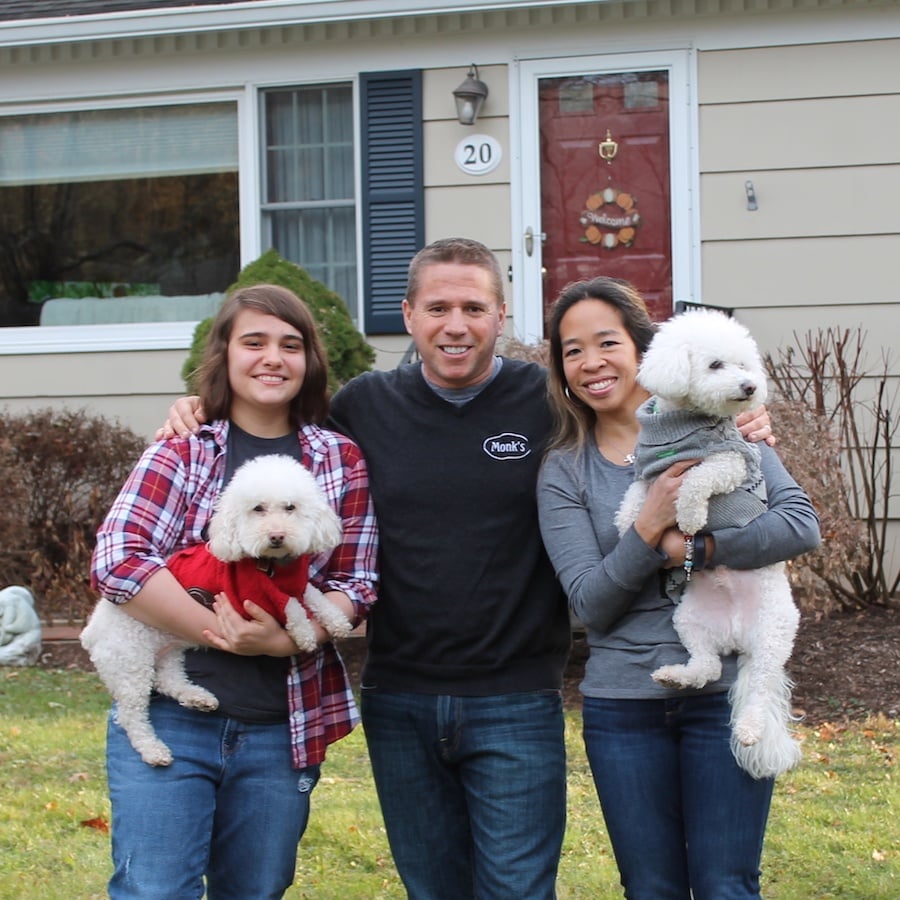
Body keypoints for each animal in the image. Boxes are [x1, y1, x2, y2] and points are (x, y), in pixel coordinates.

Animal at [81, 454, 350, 764]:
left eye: (290, 507)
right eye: (258, 509)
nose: (276, 536)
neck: (273, 567)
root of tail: (91, 632)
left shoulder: (294, 583)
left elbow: (311, 593)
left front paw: (335, 620)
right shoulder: (247, 598)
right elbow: (291, 605)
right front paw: (304, 632)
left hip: (167, 649)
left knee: (168, 680)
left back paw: (198, 698)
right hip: (130, 661)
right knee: (131, 714)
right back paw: (153, 750)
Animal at [612, 312, 800, 780]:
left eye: (744, 365)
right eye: (716, 364)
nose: (749, 387)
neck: (683, 425)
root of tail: (736, 636)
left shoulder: (730, 460)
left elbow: (699, 478)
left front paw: (692, 515)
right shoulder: (649, 471)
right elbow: (635, 495)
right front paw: (626, 526)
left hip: (772, 636)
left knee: (759, 688)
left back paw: (749, 728)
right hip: (690, 621)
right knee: (708, 666)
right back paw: (677, 676)